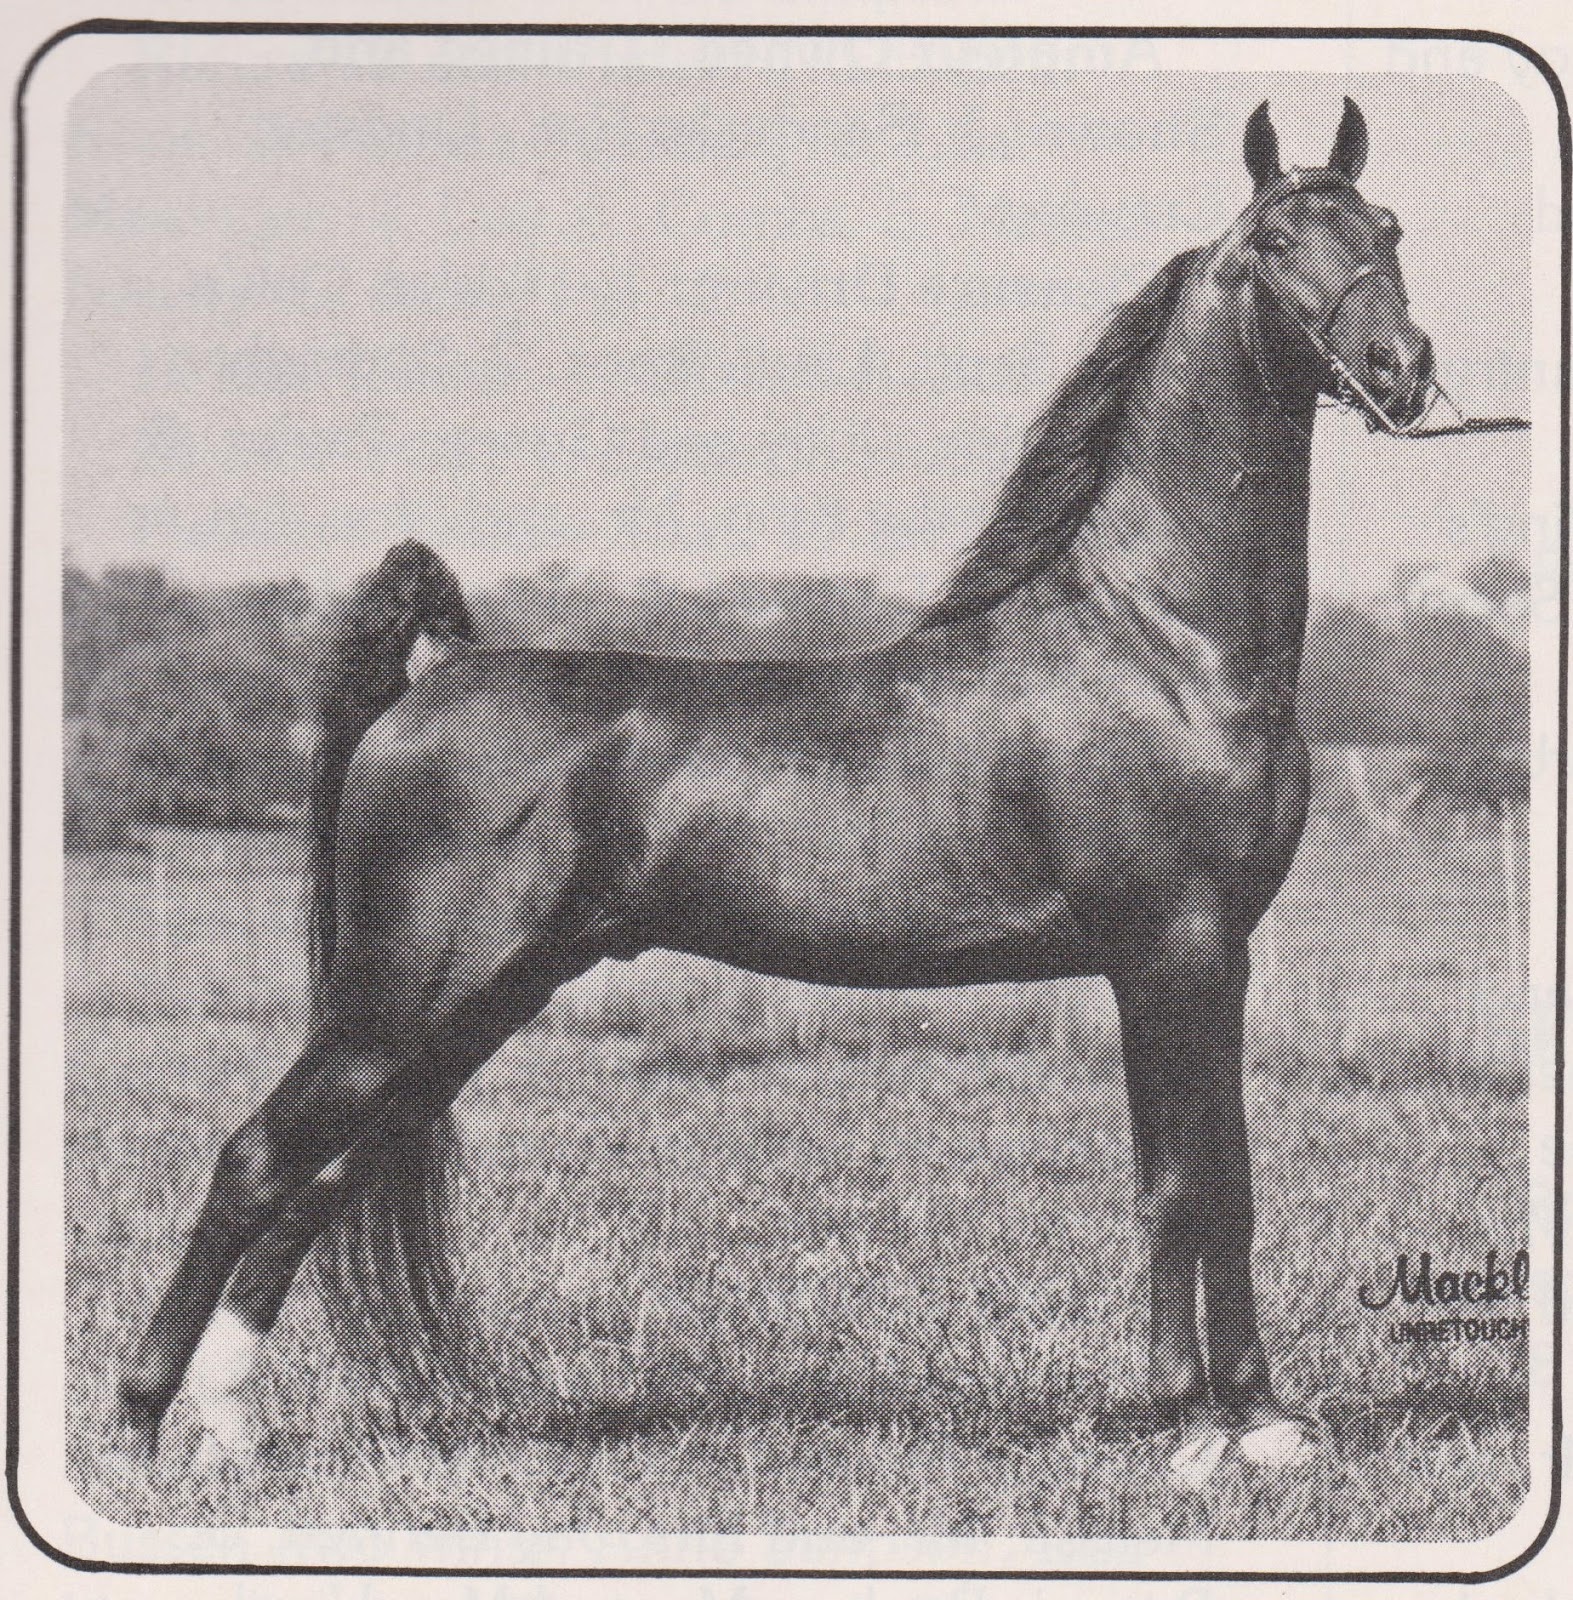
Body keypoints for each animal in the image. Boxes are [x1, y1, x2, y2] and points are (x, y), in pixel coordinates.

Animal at [116, 98, 1445, 1487]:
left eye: (1389, 225)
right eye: (1281, 239)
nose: (1400, 365)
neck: (1161, 643)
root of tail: (431, 677)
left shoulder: (1210, 956)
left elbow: (1218, 1183)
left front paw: (1260, 1419)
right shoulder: (1164, 950)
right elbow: (1184, 1185)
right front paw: (1192, 1425)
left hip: (470, 1007)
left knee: (325, 1179)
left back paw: (227, 1424)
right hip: (398, 1003)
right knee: (258, 1158)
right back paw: (140, 1421)